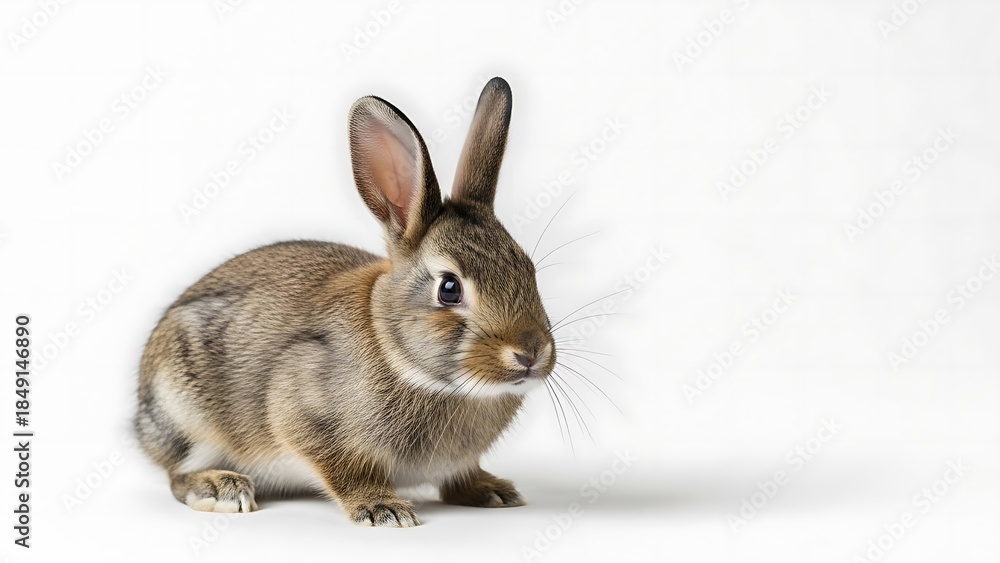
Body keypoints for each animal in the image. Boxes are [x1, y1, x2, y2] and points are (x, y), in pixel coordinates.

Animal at [134, 77, 556, 527]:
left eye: (529, 269)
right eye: (449, 288)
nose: (531, 352)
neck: (400, 357)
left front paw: (491, 491)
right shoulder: (304, 409)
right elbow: (344, 470)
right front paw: (384, 509)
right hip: (185, 412)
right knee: (178, 475)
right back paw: (221, 489)